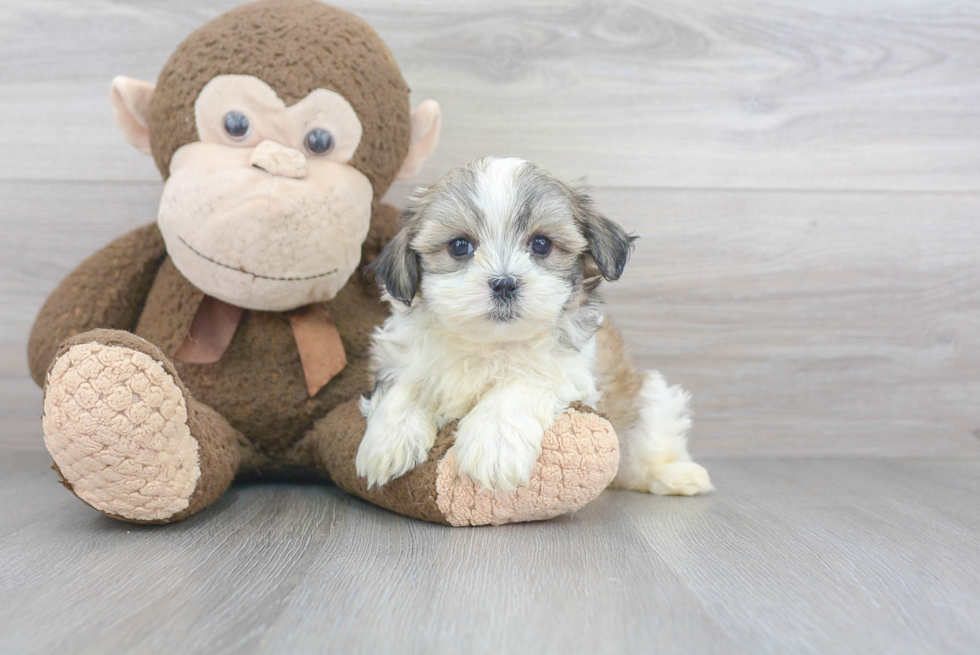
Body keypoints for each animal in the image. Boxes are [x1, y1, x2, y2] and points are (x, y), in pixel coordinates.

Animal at [356, 159, 708, 498]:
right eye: (459, 246)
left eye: (541, 244)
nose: (504, 283)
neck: (489, 344)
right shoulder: (401, 358)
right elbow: (405, 387)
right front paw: (387, 440)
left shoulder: (568, 371)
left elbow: (520, 383)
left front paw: (494, 443)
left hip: (650, 400)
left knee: (647, 449)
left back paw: (676, 475)